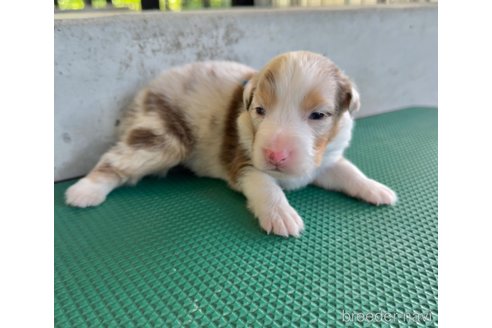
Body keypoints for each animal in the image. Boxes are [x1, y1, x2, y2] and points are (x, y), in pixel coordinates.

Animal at [65, 50, 396, 236]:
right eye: (260, 110)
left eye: (318, 115)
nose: (275, 155)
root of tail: (146, 90)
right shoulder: (243, 162)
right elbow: (265, 184)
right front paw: (281, 214)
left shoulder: (323, 161)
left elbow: (348, 172)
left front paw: (375, 188)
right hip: (163, 136)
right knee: (115, 159)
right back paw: (85, 191)